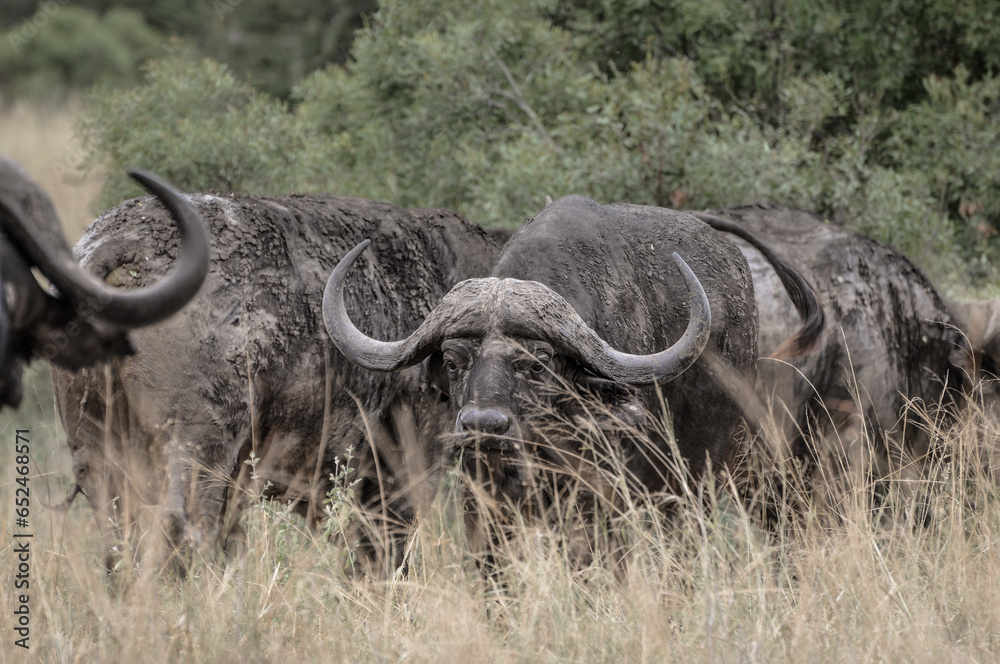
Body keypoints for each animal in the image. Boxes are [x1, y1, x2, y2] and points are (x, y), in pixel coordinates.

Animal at [51, 192, 504, 571]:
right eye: (453, 361)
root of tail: (121, 244)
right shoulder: (407, 469)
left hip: (97, 449)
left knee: (117, 540)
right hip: (198, 449)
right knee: (182, 528)